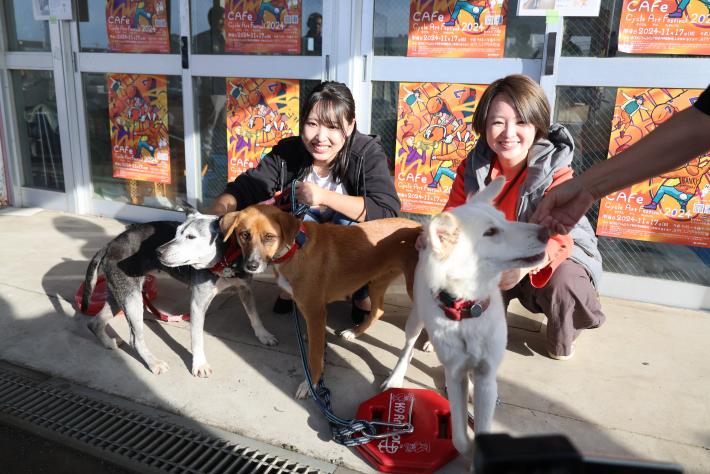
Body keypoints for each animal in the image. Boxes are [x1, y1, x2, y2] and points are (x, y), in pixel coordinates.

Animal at [80, 207, 276, 378]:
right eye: (176, 234)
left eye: (191, 237)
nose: (157, 251)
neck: (225, 261)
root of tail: (109, 245)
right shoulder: (198, 304)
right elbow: (197, 338)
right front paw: (200, 365)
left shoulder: (245, 289)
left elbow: (254, 314)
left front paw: (263, 334)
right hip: (132, 299)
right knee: (135, 339)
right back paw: (153, 363)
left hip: (121, 295)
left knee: (94, 323)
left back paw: (109, 343)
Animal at [222, 206, 422, 398]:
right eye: (244, 235)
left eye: (269, 237)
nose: (251, 266)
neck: (294, 248)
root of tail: (418, 226)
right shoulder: (308, 307)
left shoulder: (315, 312)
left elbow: (315, 357)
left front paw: (311, 385)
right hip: (378, 281)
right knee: (378, 311)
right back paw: (354, 332)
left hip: (414, 290)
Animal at [384, 177, 552, 456]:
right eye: (491, 232)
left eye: (505, 219)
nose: (547, 232)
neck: (468, 308)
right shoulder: (454, 373)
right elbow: (460, 438)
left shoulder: (487, 375)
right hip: (416, 318)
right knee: (407, 347)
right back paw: (397, 375)